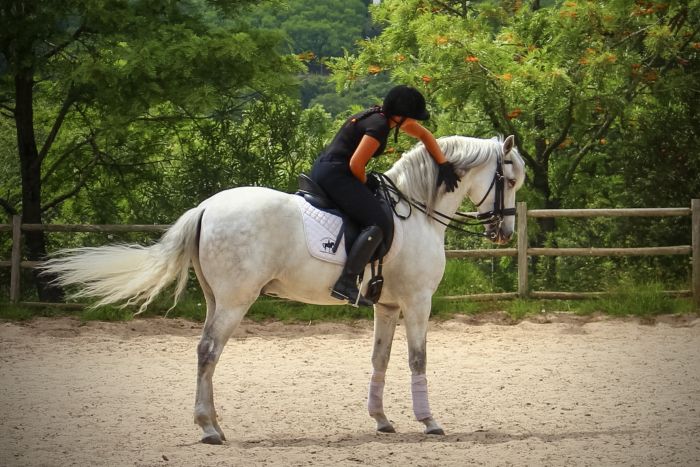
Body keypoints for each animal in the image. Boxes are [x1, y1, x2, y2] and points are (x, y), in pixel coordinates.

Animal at [41, 133, 524, 444]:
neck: (419, 212)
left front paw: (382, 420)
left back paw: (215, 424)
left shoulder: (385, 306)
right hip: (235, 300)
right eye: (511, 180)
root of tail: (205, 207)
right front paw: (429, 422)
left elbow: (380, 359)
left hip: (217, 298)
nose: (503, 232)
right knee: (208, 352)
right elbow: (418, 359)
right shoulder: (418, 302)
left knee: (205, 352)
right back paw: (209, 429)